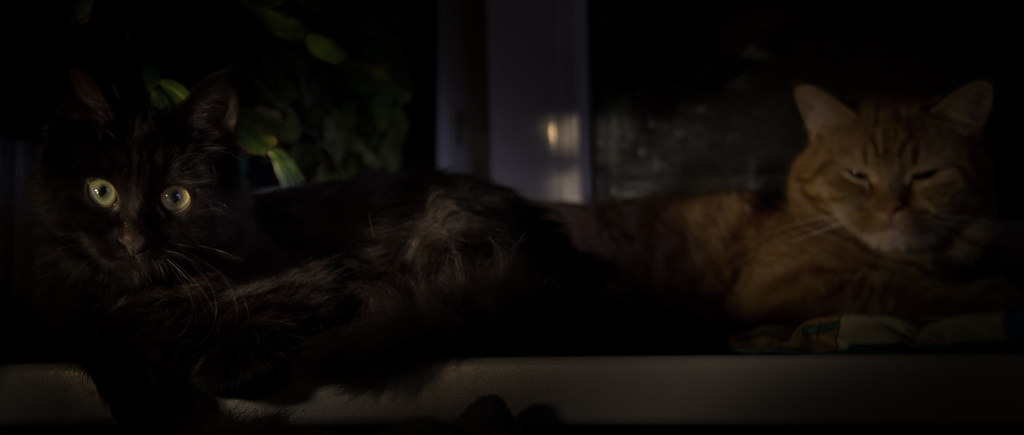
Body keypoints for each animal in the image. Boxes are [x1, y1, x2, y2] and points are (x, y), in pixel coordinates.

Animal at [25, 68, 604, 430]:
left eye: (175, 197)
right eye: (102, 191)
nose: (133, 239)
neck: (144, 299)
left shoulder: (327, 280)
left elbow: (245, 342)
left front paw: (204, 372)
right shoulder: (72, 318)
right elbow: (104, 356)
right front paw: (147, 397)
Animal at [546, 81, 1022, 333]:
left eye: (925, 175)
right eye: (857, 174)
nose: (891, 208)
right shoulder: (780, 287)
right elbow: (896, 290)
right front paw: (986, 292)